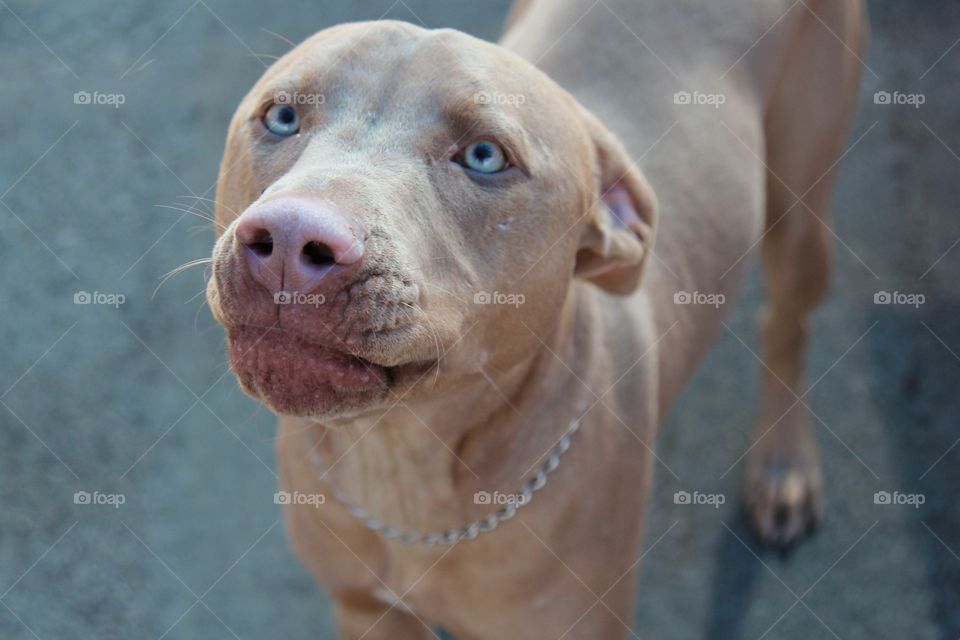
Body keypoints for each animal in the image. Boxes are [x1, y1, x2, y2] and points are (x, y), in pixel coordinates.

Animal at [206, 2, 868, 636]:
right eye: (281, 117)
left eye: (484, 155)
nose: (291, 243)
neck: (405, 476)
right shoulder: (365, 610)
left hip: (802, 219)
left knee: (785, 324)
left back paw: (784, 467)